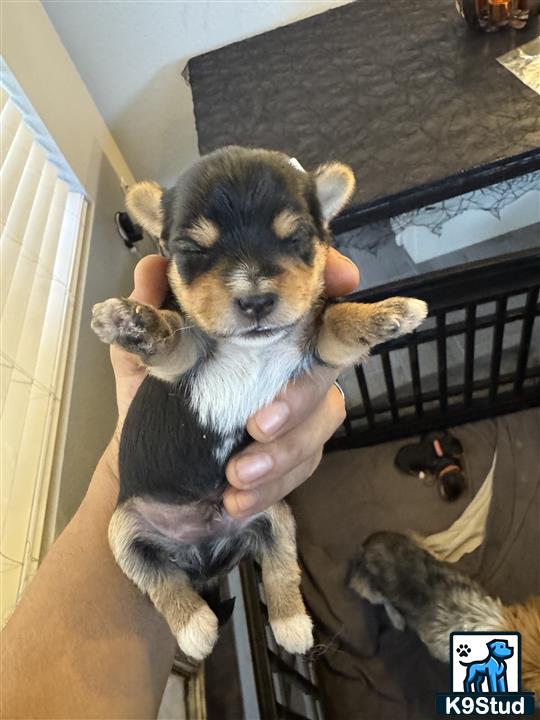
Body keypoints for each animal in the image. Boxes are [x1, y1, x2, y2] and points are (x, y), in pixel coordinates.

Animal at [93, 148, 428, 664]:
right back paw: (196, 628)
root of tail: (207, 553)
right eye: (193, 251)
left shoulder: (320, 347)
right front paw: (130, 321)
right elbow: (166, 333)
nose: (255, 300)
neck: (252, 347)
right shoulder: (180, 359)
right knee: (161, 579)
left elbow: (338, 320)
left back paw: (292, 625)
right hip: (123, 529)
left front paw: (390, 313)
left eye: (296, 238)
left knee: (279, 566)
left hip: (275, 517)